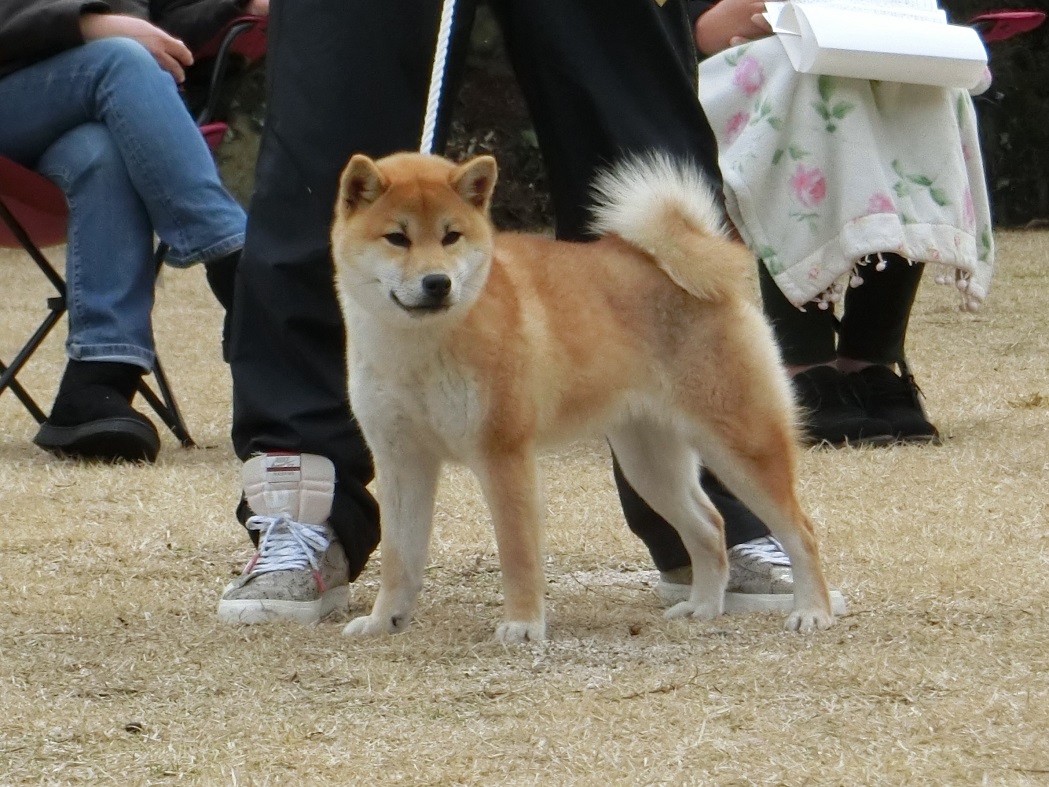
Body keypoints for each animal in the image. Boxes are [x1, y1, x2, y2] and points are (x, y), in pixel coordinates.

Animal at [331, 151, 835, 642]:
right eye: (397, 238)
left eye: (451, 236)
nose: (437, 282)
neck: (416, 348)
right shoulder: (402, 461)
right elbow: (399, 558)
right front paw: (384, 621)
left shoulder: (504, 455)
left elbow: (517, 554)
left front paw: (523, 624)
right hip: (650, 465)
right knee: (710, 527)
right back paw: (704, 608)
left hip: (740, 446)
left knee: (802, 531)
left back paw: (812, 611)